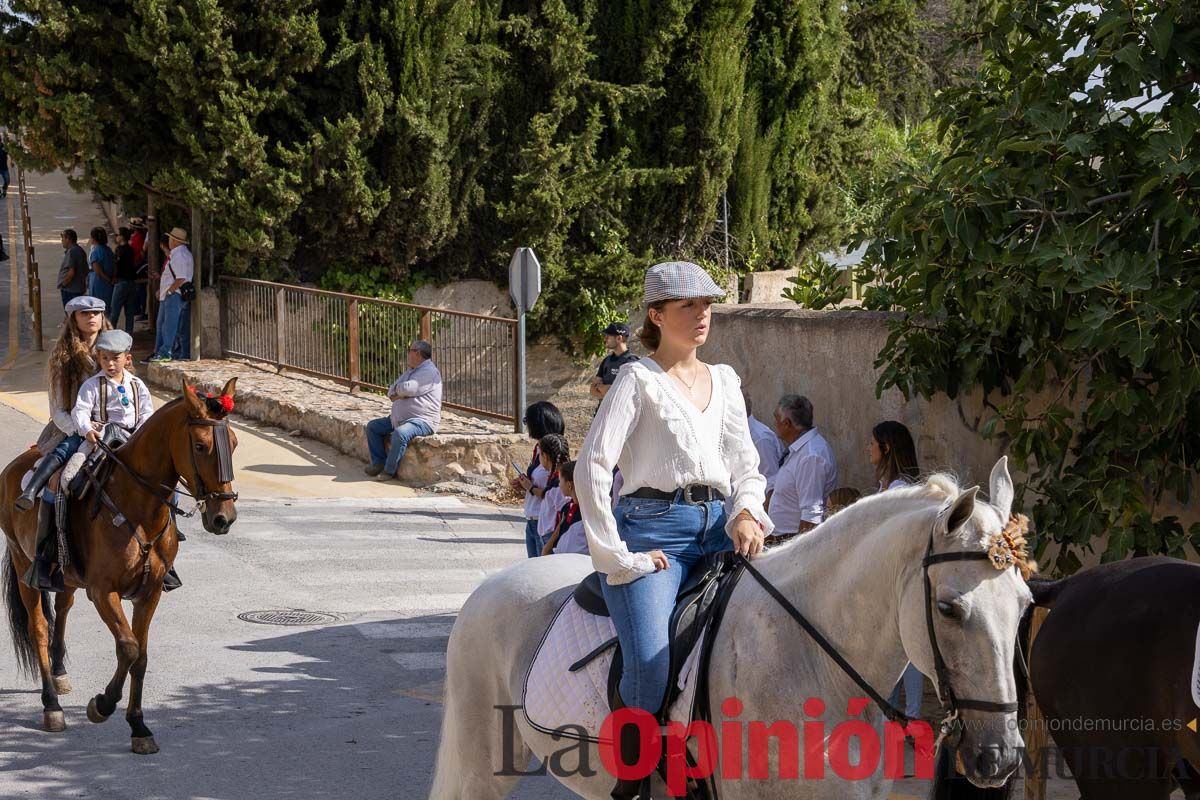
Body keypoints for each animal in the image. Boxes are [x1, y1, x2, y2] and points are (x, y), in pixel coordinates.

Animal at [0, 379, 238, 753]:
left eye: (235, 444)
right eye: (201, 446)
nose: (223, 518)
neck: (137, 507)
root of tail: (16, 466)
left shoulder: (150, 593)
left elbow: (140, 656)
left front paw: (138, 726)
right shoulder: (103, 592)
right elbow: (127, 646)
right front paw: (102, 705)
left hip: (66, 577)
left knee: (62, 609)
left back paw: (60, 673)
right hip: (24, 564)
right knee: (38, 627)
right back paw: (52, 705)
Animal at [432, 460, 1032, 796]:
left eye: (1025, 605)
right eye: (950, 608)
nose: (999, 757)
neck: (813, 663)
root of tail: (492, 584)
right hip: (481, 765)